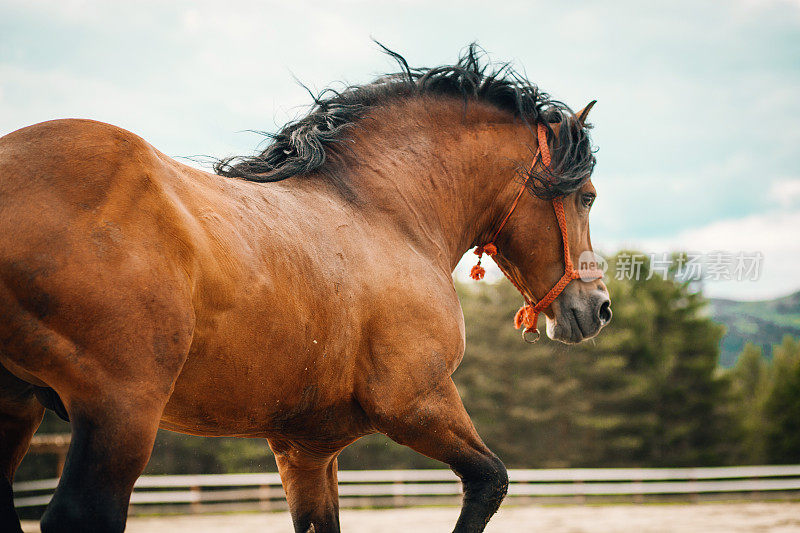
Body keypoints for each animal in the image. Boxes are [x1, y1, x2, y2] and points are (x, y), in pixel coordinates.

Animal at [1, 46, 612, 532]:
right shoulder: (416, 402)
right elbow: (490, 481)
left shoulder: (305, 448)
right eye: (586, 195)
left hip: (20, 408)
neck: (381, 211)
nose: (599, 307)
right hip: (120, 412)